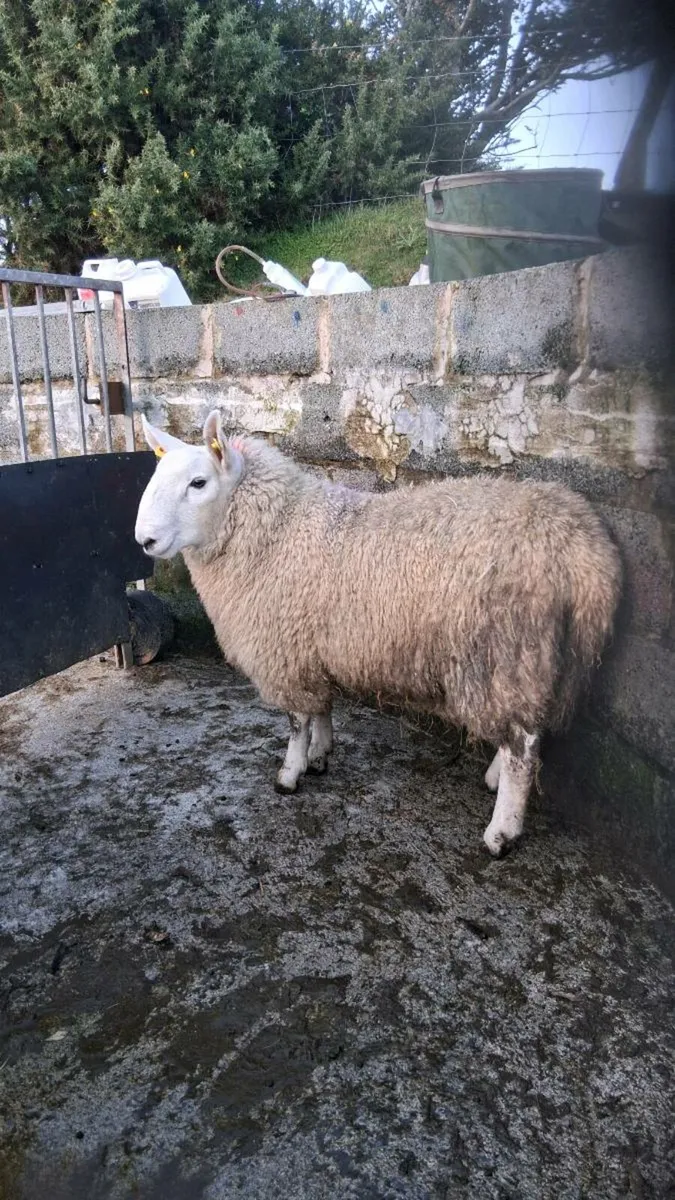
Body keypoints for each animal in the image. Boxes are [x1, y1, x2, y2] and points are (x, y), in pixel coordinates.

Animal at [135, 410, 622, 857]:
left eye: (198, 483)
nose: (145, 541)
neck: (276, 530)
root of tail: (582, 549)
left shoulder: (285, 653)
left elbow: (296, 721)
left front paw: (290, 774)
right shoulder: (311, 649)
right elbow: (322, 708)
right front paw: (320, 755)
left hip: (503, 652)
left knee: (524, 747)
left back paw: (501, 832)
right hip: (526, 663)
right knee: (526, 729)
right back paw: (494, 780)